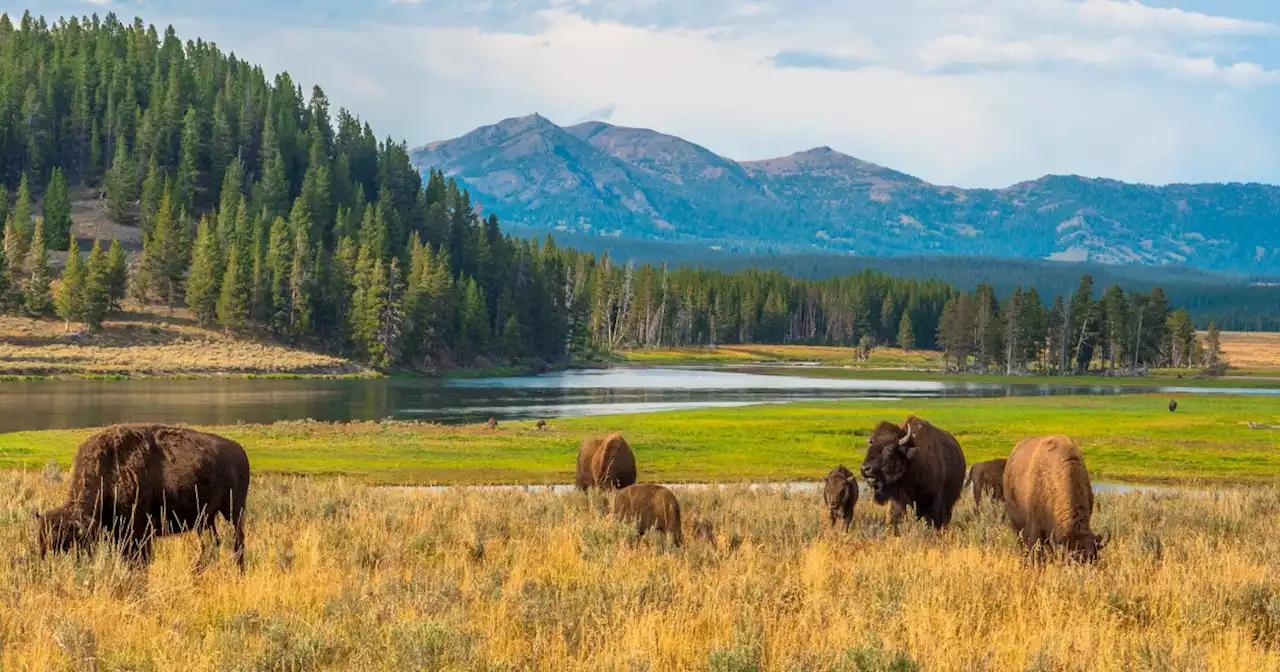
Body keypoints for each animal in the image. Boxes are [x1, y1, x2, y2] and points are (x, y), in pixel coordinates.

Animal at [34, 422, 249, 568]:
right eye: (42, 542)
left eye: (66, 543)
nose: (48, 565)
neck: (110, 471)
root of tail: (239, 449)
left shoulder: (140, 532)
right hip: (208, 519)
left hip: (233, 511)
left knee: (238, 541)